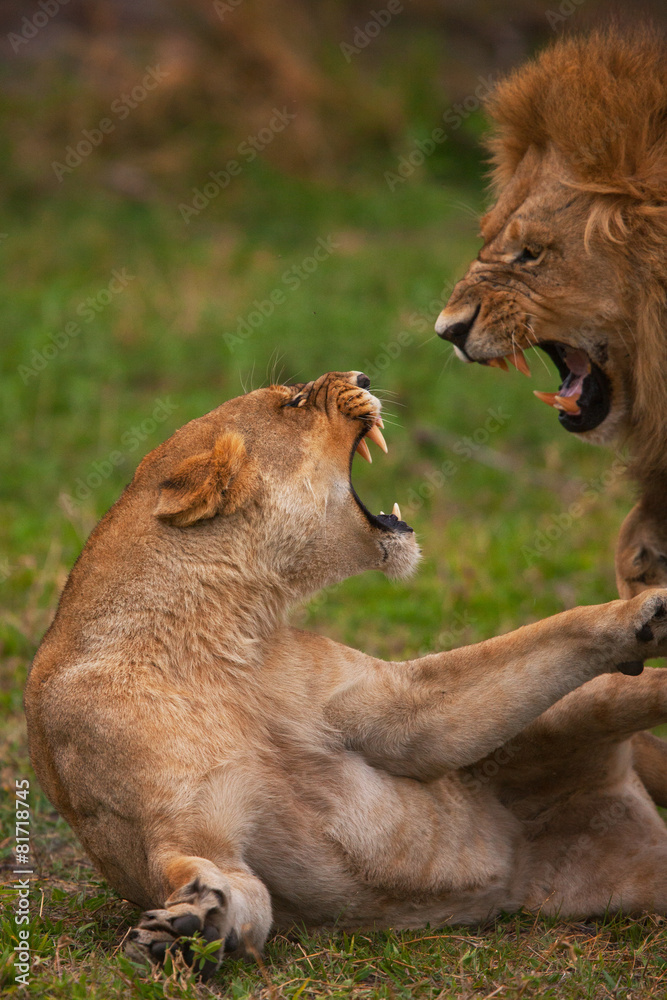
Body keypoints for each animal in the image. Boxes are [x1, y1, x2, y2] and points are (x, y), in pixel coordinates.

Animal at [25, 371, 667, 979]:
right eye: (294, 402)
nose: (361, 378)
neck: (221, 641)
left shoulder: (403, 708)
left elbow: (555, 630)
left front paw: (649, 611)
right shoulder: (185, 829)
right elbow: (229, 885)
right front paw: (189, 929)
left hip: (586, 705)